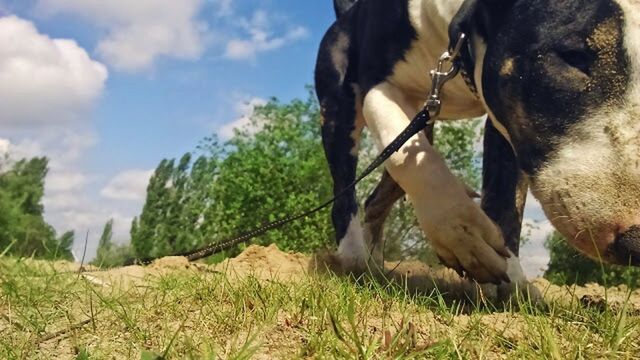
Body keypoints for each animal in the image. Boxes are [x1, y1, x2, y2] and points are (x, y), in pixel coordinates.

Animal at [316, 0, 640, 290]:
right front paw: (463, 234)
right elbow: (414, 165)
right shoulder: (379, 87)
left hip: (422, 122)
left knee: (379, 196)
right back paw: (354, 256)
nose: (634, 243)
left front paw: (513, 284)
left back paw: (374, 260)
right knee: (345, 193)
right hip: (339, 110)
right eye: (572, 56)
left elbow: (506, 201)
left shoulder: (505, 117)